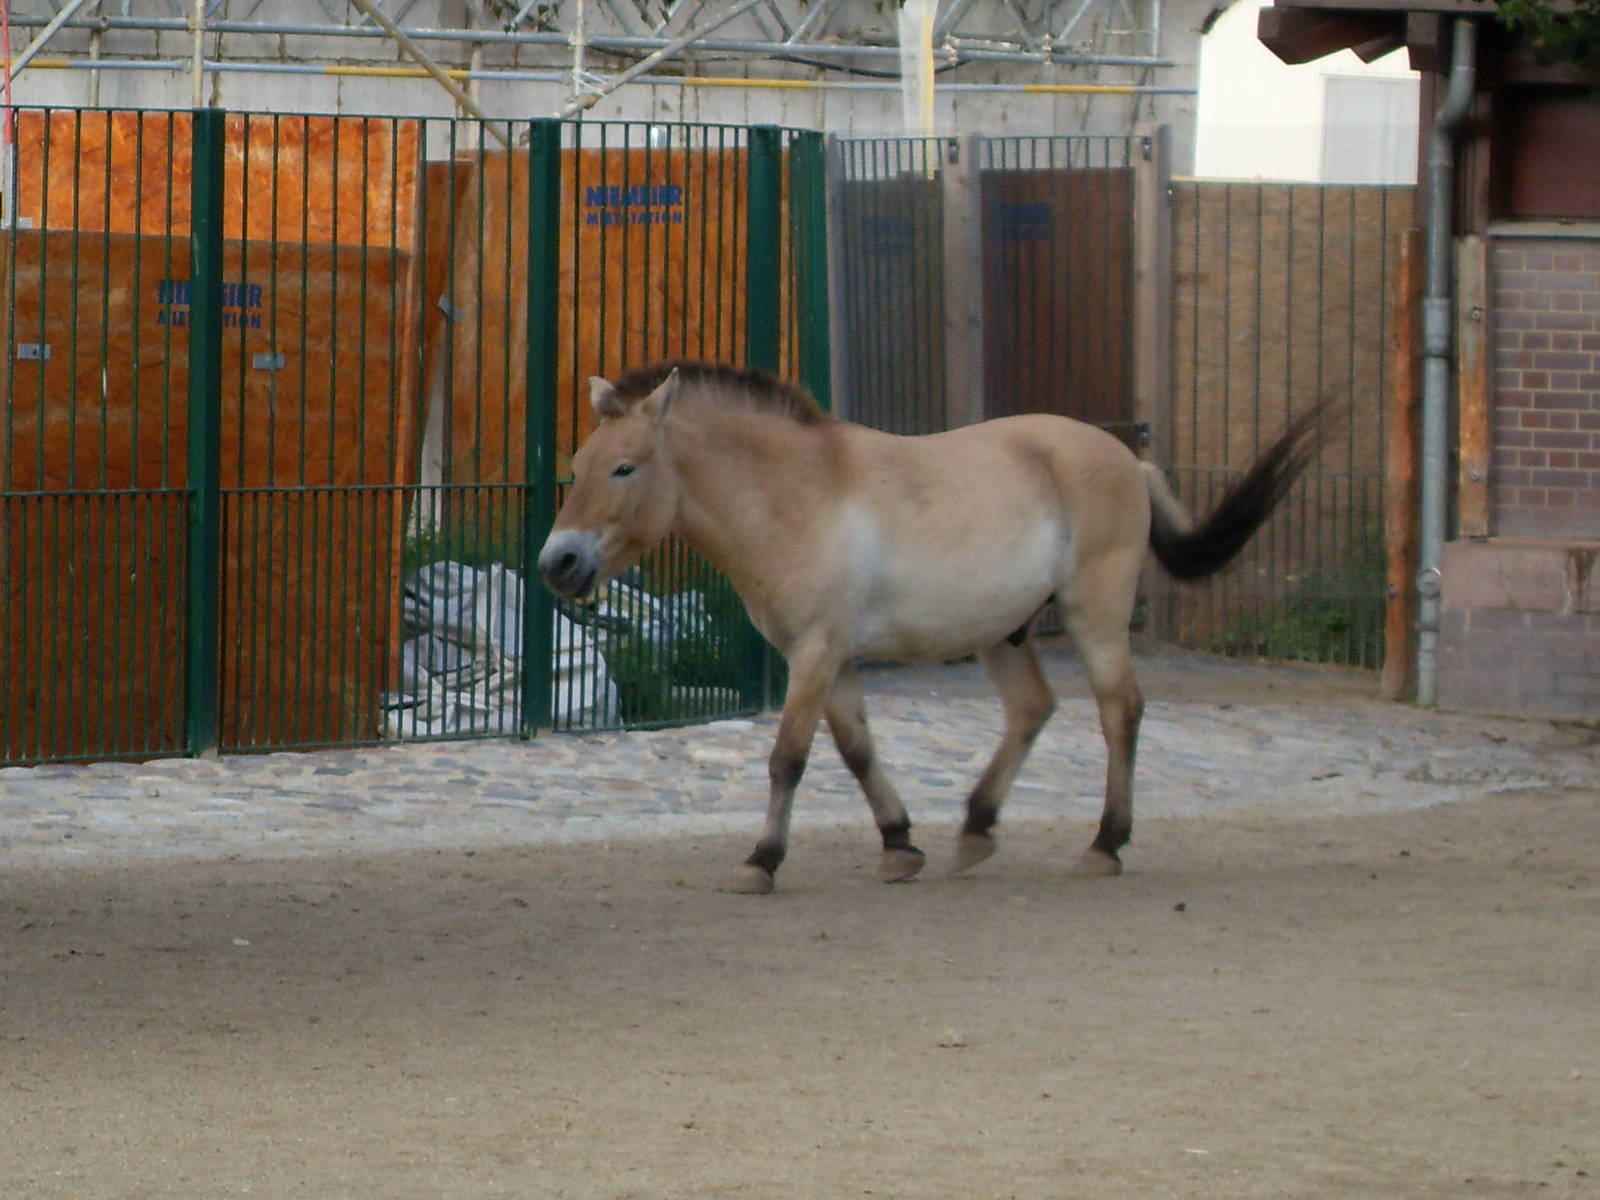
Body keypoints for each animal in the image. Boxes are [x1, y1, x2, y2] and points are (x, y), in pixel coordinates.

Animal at [539, 359, 1337, 894]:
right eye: (577, 463)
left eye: (624, 468)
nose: (557, 562)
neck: (797, 492)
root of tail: (1127, 459)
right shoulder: (830, 657)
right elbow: (858, 752)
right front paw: (899, 844)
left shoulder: (816, 654)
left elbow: (788, 757)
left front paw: (761, 861)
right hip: (1005, 633)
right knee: (1033, 710)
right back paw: (976, 830)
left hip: (1096, 617)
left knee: (1121, 712)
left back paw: (1105, 843)